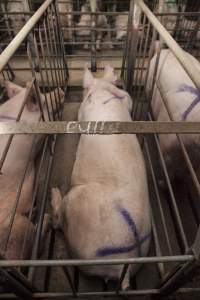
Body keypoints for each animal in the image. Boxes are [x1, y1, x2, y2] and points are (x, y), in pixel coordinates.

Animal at [50, 65, 151, 288]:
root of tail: (123, 265)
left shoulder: (83, 110)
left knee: (58, 220)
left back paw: (53, 193)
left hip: (77, 201)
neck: (103, 88)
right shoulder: (126, 99)